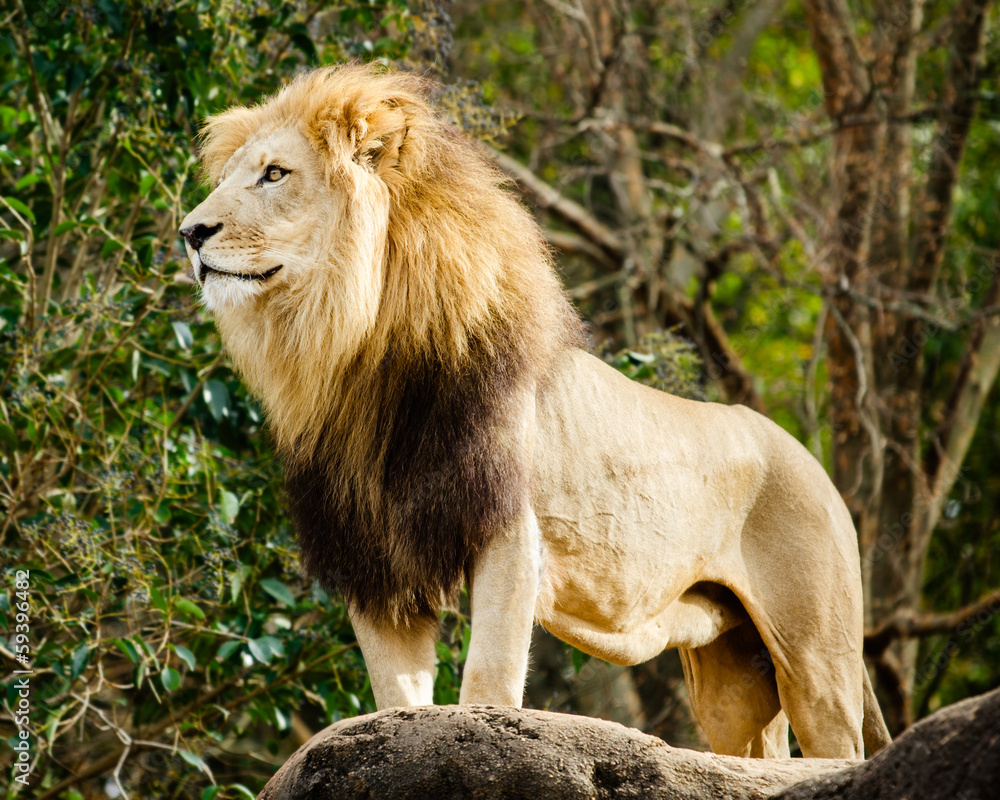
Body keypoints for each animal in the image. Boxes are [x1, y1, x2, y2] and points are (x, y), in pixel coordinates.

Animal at [180, 65, 892, 760]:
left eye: (275, 173)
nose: (189, 232)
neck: (359, 356)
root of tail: (812, 463)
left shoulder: (508, 527)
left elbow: (489, 675)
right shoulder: (372, 555)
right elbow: (396, 695)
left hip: (816, 659)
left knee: (839, 749)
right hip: (732, 671)